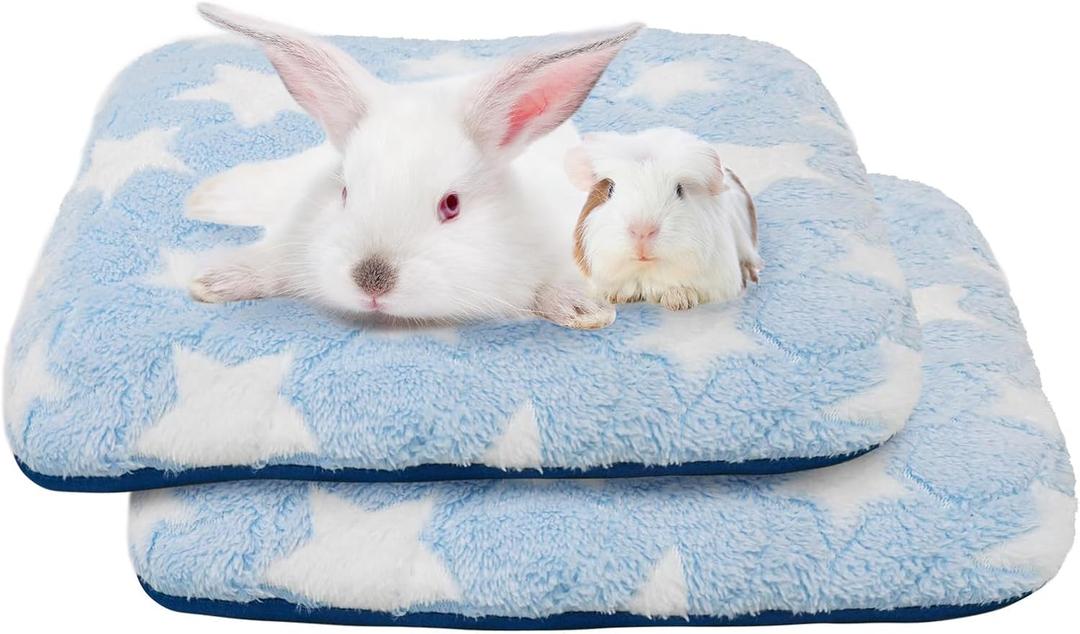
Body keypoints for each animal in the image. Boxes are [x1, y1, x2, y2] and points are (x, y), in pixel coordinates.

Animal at [185, 4, 642, 330]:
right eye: (345, 192)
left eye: (452, 204)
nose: (372, 281)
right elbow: (269, 262)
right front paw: (212, 283)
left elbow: (556, 283)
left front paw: (584, 311)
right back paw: (204, 198)